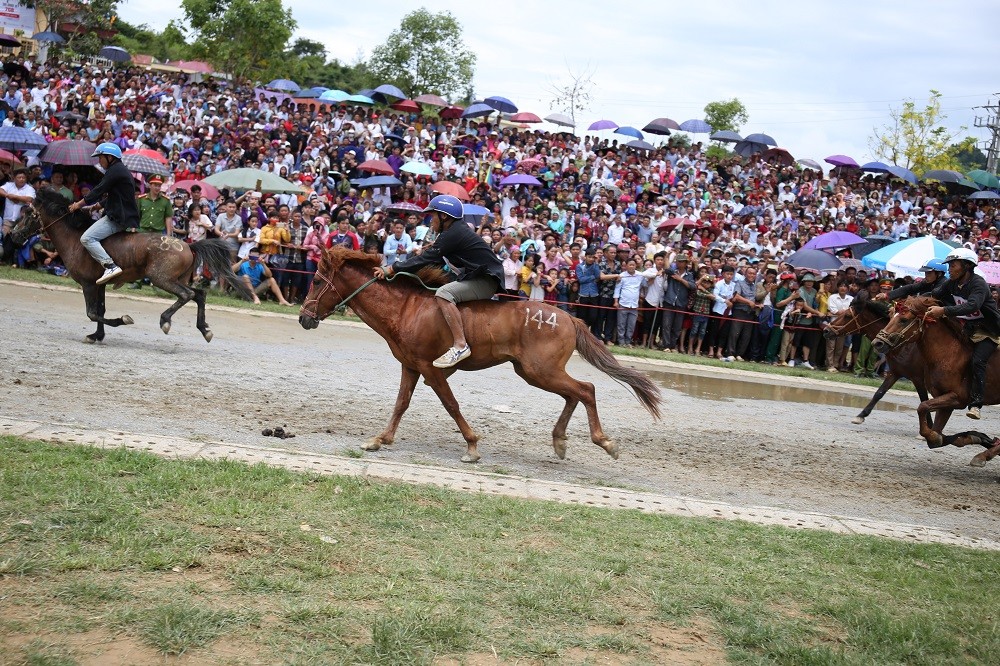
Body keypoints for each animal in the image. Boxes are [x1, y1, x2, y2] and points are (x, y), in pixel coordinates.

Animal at [10, 187, 252, 342]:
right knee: (199, 295)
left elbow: (92, 313)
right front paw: (97, 335)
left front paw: (122, 321)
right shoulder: (99, 284)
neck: (75, 239)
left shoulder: (88, 284)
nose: (13, 235)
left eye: (28, 213)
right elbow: (100, 310)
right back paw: (204, 329)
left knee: (187, 295)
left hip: (161, 278)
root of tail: (187, 245)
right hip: (177, 279)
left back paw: (165, 320)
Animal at [296, 245, 664, 462]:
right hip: (534, 372)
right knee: (573, 394)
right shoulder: (411, 366)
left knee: (585, 390)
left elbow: (451, 404)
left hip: (540, 370)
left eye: (317, 281)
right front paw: (379, 439)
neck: (406, 308)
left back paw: (603, 442)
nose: (304, 317)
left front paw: (472, 446)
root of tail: (569, 317)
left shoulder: (430, 368)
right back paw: (559, 441)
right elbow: (400, 404)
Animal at [824, 298, 932, 428]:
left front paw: (930, 426)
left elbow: (924, 399)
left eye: (847, 315)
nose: (826, 330)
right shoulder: (894, 372)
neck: (905, 346)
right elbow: (879, 393)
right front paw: (861, 415)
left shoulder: (917, 378)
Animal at [876, 294, 1000, 464]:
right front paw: (979, 437)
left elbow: (923, 407)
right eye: (889, 316)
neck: (947, 354)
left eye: (904, 320)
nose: (877, 343)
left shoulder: (957, 398)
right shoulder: (945, 401)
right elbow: (936, 438)